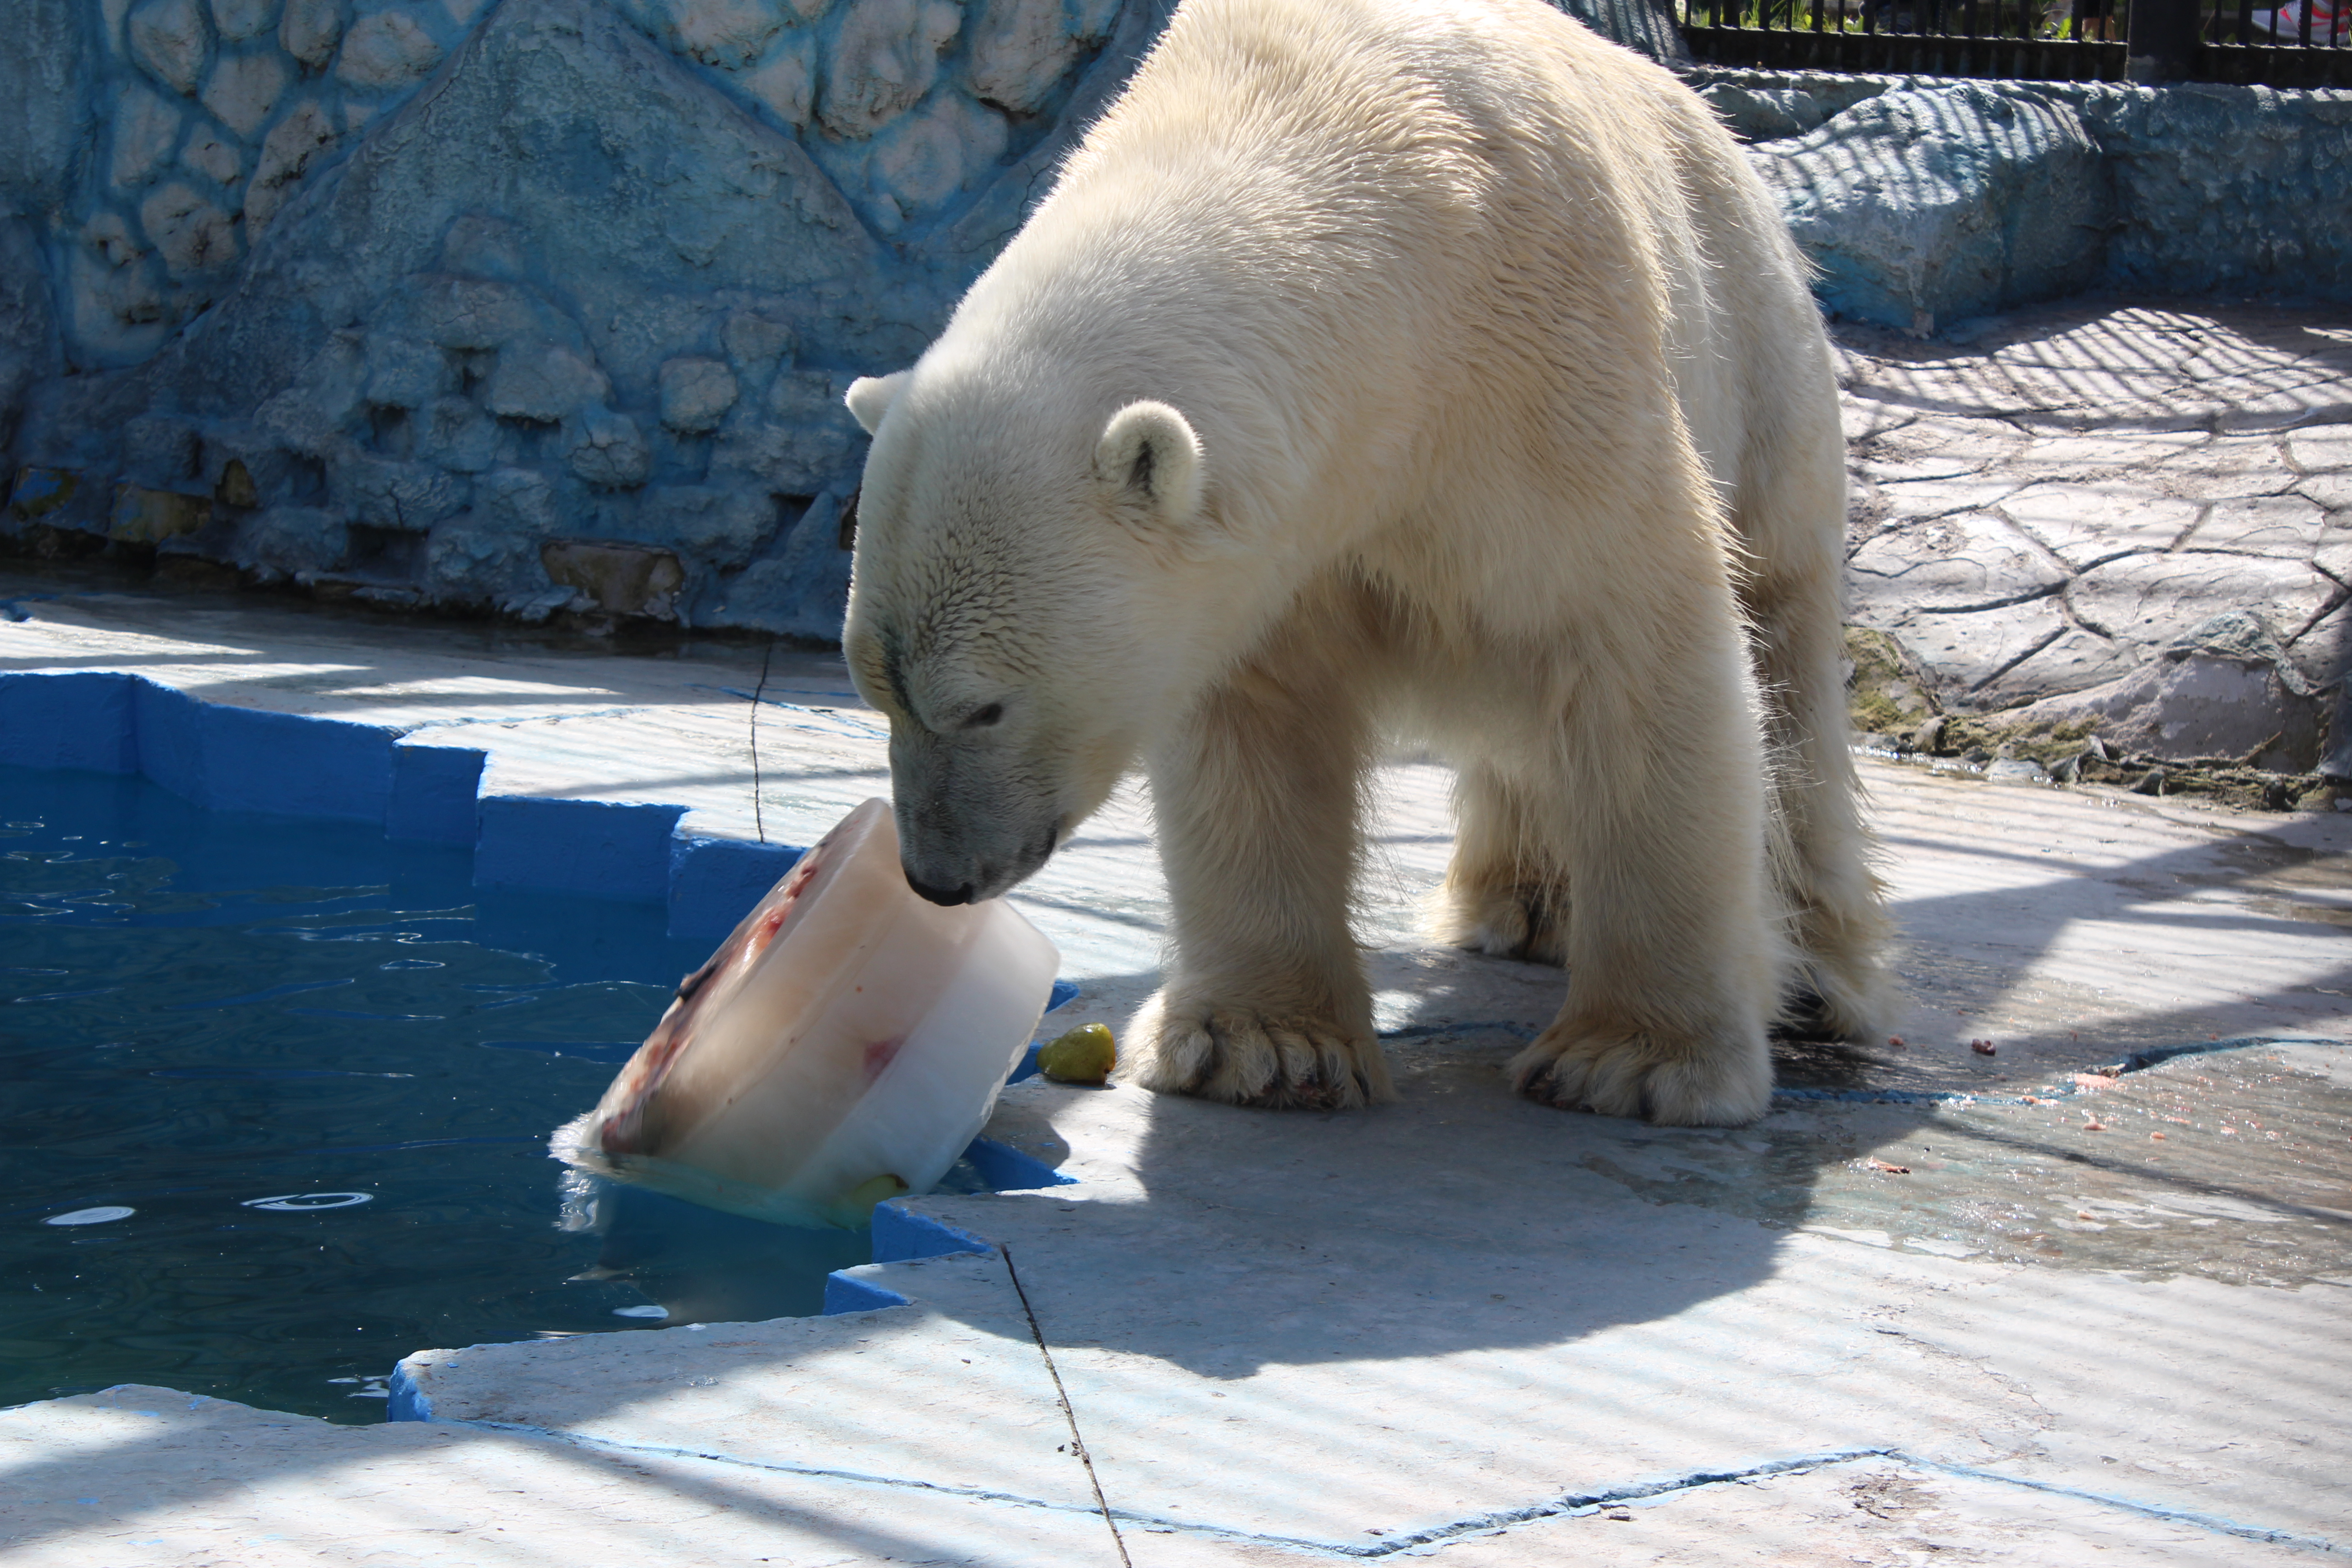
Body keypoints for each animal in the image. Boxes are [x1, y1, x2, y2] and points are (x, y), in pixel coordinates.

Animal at [837, 0, 1882, 1128]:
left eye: (983, 705)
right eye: (876, 692)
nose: (937, 878)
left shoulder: (1550, 383)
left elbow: (1638, 652)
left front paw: (1637, 1062)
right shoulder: (1283, 544)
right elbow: (1257, 725)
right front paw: (1263, 1043)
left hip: (1757, 349)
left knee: (1787, 647)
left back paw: (1815, 977)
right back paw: (1521, 901)